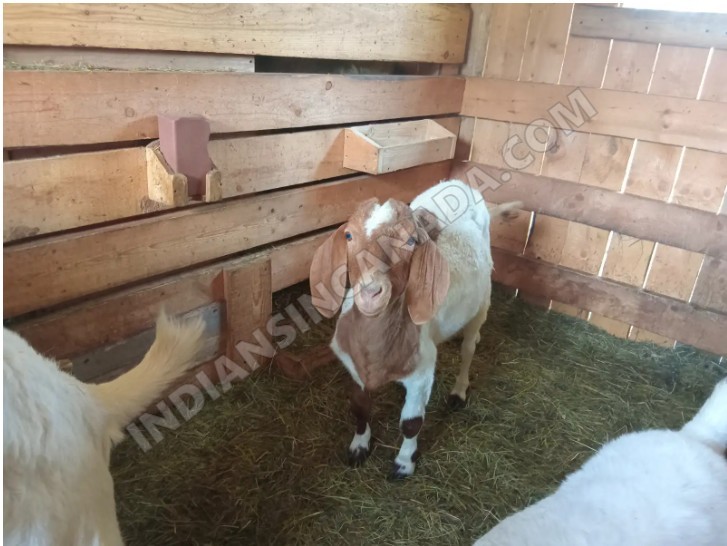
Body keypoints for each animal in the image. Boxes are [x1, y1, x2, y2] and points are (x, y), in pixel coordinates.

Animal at [309, 179, 521, 479]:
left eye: (411, 241)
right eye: (349, 236)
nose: (371, 292)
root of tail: (460, 183)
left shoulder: (421, 369)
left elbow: (411, 422)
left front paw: (404, 463)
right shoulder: (354, 366)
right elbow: (360, 408)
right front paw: (359, 447)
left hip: (482, 303)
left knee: (469, 348)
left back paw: (459, 391)